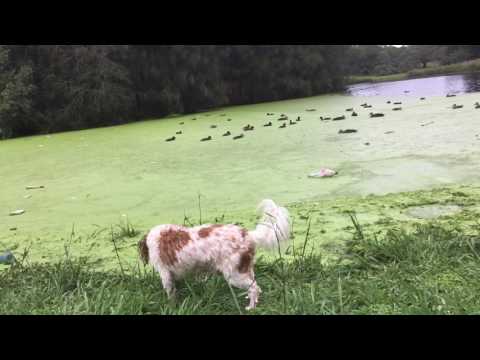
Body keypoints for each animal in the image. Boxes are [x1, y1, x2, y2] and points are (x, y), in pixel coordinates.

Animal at [137, 200, 290, 310]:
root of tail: (248, 235)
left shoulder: (165, 274)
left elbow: (170, 293)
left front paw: (171, 306)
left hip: (234, 275)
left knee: (254, 288)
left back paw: (251, 308)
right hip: (244, 269)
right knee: (254, 285)